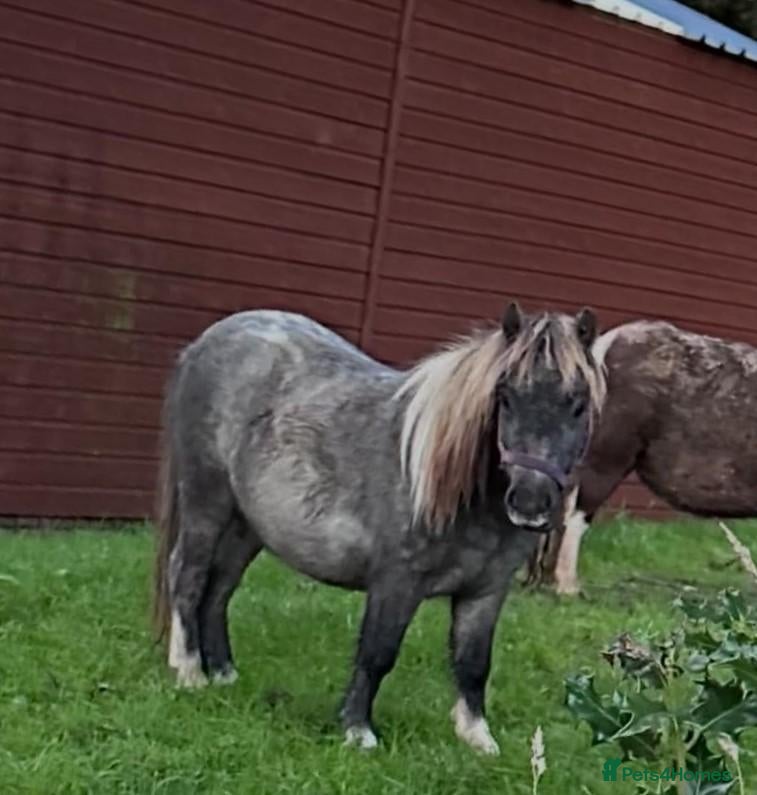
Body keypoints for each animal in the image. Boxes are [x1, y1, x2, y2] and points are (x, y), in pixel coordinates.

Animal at [152, 302, 605, 754]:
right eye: (505, 397)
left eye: (579, 404)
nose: (529, 502)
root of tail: (203, 343)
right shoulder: (397, 581)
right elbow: (377, 652)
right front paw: (358, 731)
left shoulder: (486, 591)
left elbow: (474, 662)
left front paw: (477, 737)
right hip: (206, 502)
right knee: (188, 577)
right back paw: (190, 672)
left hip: (248, 525)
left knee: (219, 589)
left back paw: (224, 673)